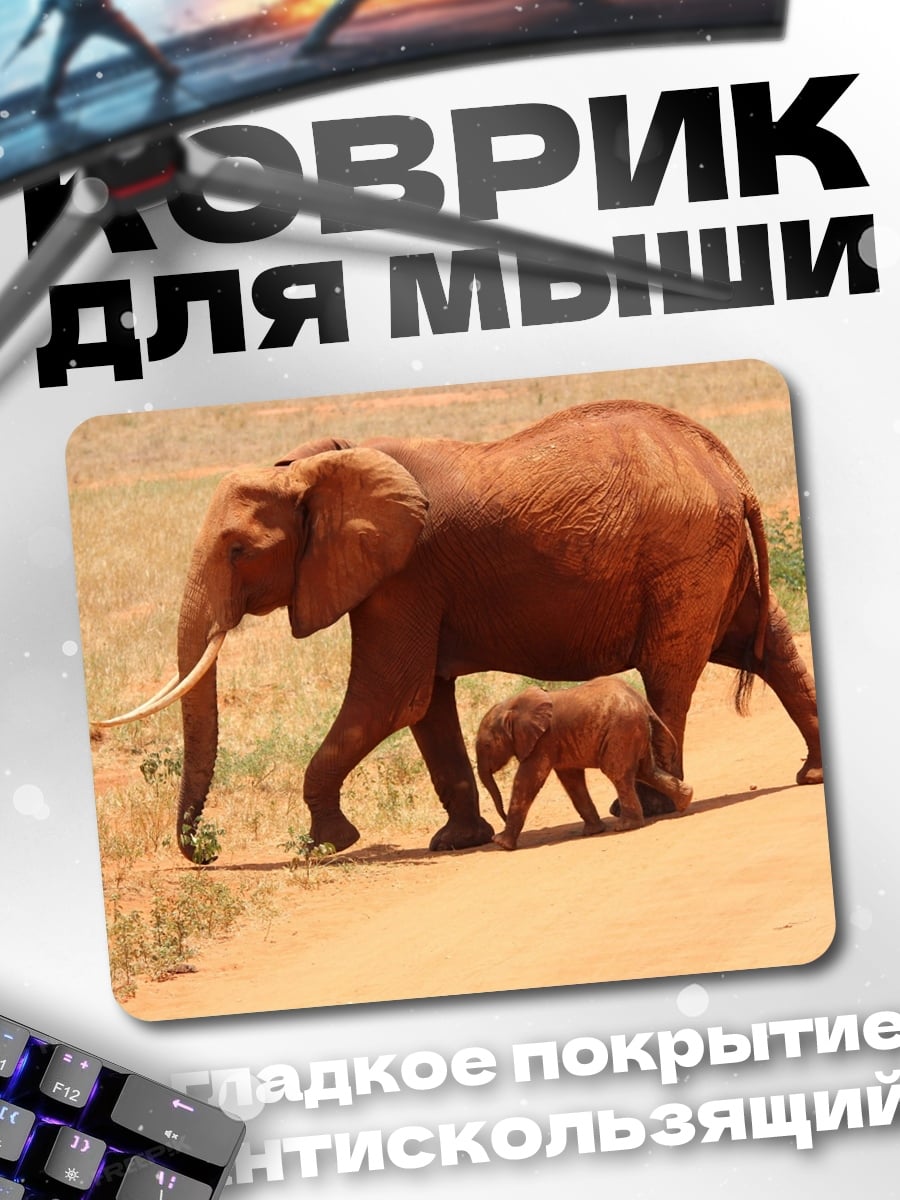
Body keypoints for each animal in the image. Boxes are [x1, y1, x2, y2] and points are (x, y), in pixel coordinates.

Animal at [475, 678, 694, 851]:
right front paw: (593, 831)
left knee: (618, 773)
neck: (512, 705)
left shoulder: (543, 741)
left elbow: (527, 781)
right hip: (634, 730)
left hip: (622, 731)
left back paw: (625, 826)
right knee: (646, 771)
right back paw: (685, 801)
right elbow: (572, 781)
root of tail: (642, 702)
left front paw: (501, 843)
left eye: (486, 745)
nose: (502, 819)